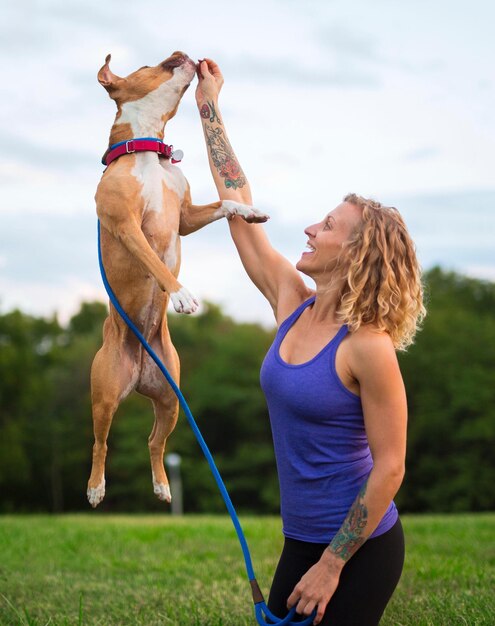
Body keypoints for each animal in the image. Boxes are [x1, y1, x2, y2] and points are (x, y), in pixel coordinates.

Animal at [88, 51, 268, 504]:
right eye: (149, 64)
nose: (184, 54)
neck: (148, 150)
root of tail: (137, 373)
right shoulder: (127, 226)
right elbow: (156, 264)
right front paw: (182, 295)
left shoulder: (186, 217)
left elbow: (224, 202)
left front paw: (249, 211)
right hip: (104, 394)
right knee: (101, 442)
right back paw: (96, 488)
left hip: (171, 397)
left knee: (155, 442)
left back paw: (162, 485)